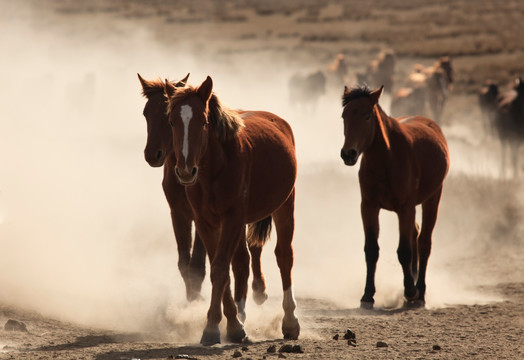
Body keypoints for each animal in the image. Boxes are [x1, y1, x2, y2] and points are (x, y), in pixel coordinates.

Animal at [137, 74, 268, 320]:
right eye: (146, 113)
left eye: (166, 115)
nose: (152, 154)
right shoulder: (178, 213)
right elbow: (184, 262)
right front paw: (190, 299)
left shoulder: (202, 217)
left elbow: (198, 264)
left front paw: (197, 300)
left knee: (254, 247)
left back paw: (259, 290)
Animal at [166, 76, 300, 346]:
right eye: (172, 122)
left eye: (203, 121)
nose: (185, 171)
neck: (214, 170)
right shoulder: (206, 222)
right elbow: (222, 270)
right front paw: (231, 324)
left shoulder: (231, 219)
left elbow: (219, 269)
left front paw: (214, 328)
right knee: (241, 262)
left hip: (285, 205)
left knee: (284, 256)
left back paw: (290, 321)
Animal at [340, 86, 450, 308]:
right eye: (344, 115)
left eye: (367, 116)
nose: (348, 153)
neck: (387, 160)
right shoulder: (369, 207)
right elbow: (371, 250)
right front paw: (367, 295)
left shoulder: (405, 208)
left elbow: (404, 251)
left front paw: (410, 290)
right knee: (416, 234)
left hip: (432, 198)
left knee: (424, 242)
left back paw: (420, 291)